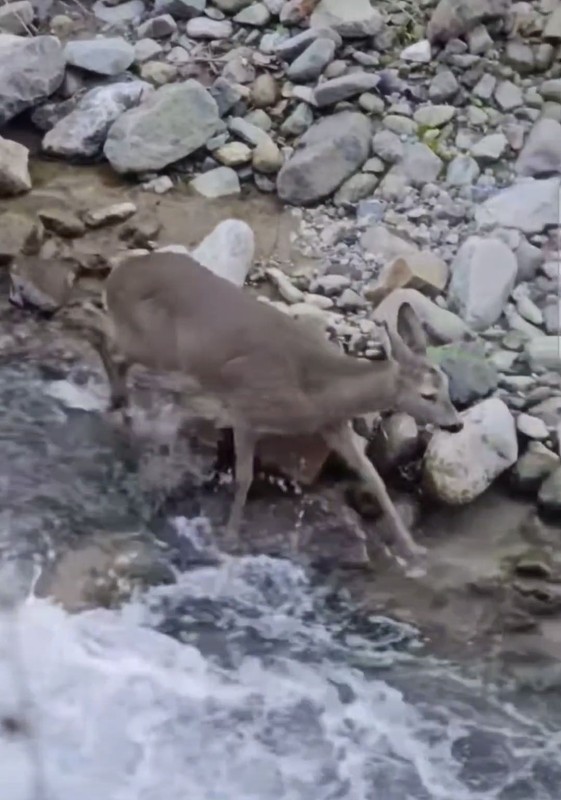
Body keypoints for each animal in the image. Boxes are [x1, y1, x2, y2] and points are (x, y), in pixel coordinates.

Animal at [68, 253, 462, 564]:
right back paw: (118, 401)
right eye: (428, 395)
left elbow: (375, 479)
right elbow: (243, 478)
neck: (317, 388)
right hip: (153, 344)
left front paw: (413, 548)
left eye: (446, 386)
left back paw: (121, 405)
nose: (456, 424)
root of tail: (118, 272)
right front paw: (228, 540)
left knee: (110, 345)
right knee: (101, 333)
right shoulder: (246, 409)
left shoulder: (332, 426)